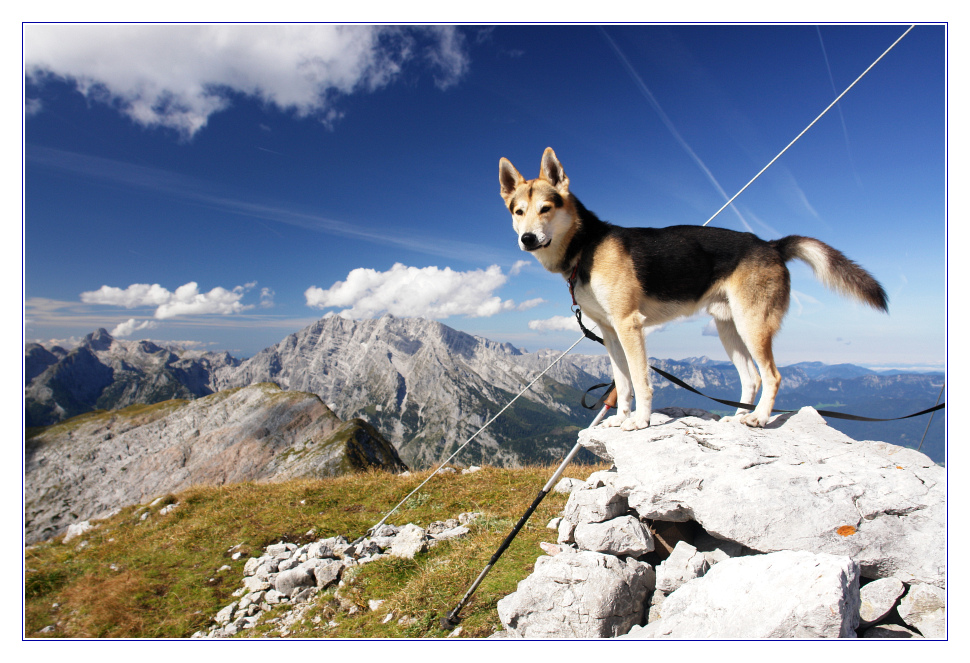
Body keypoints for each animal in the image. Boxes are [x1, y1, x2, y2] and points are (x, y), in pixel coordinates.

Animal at [500, 147, 884, 430]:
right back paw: (739, 416)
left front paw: (640, 421)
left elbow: (640, 380)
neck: (586, 246)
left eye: (546, 208)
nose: (527, 238)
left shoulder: (629, 325)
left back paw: (759, 418)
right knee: (751, 378)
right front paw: (620, 419)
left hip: (753, 325)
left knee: (772, 376)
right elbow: (622, 384)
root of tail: (771, 245)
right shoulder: (609, 332)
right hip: (728, 328)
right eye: (518, 211)